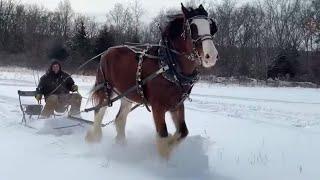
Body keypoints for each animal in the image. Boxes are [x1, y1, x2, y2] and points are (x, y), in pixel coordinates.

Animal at [85, 3, 218, 158]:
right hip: (106, 89)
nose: (211, 56)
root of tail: (107, 51)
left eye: (211, 27)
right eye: (193, 28)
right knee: (99, 111)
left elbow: (183, 132)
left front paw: (171, 145)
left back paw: (121, 145)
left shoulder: (177, 105)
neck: (169, 66)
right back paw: (94, 139)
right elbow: (163, 135)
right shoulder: (157, 106)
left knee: (120, 119)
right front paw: (163, 158)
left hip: (127, 95)